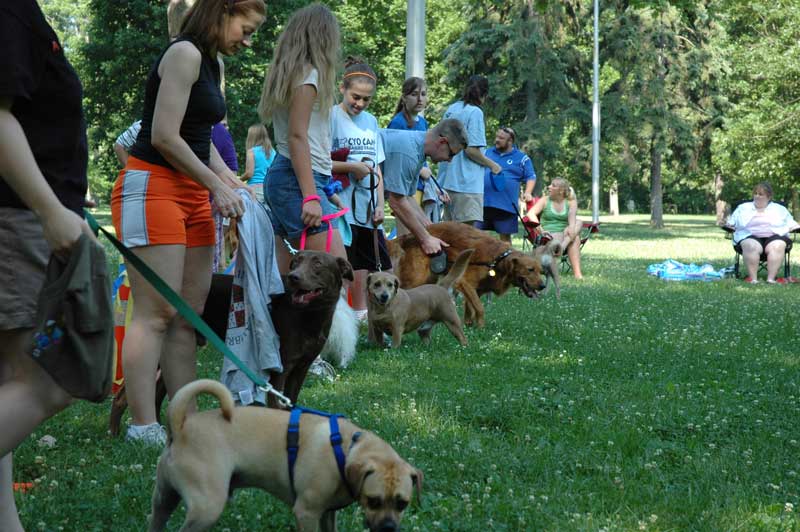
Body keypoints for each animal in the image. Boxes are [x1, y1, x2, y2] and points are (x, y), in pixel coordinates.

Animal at [386, 221, 548, 328]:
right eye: (530, 269)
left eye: (540, 271)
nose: (543, 286)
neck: (497, 259)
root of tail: (407, 236)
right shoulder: (464, 282)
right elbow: (480, 308)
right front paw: (481, 327)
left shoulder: (477, 289)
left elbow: (470, 308)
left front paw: (469, 325)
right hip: (417, 278)